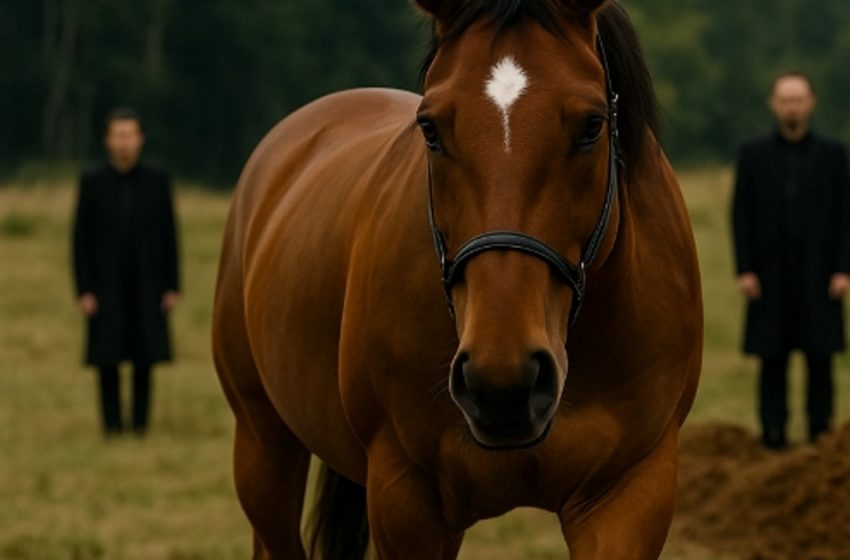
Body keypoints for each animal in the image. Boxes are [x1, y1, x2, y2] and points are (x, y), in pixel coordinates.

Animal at [212, 1, 702, 558]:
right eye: (430, 128)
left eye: (592, 125)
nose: (504, 384)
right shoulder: (405, 497)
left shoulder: (627, 491)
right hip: (264, 449)